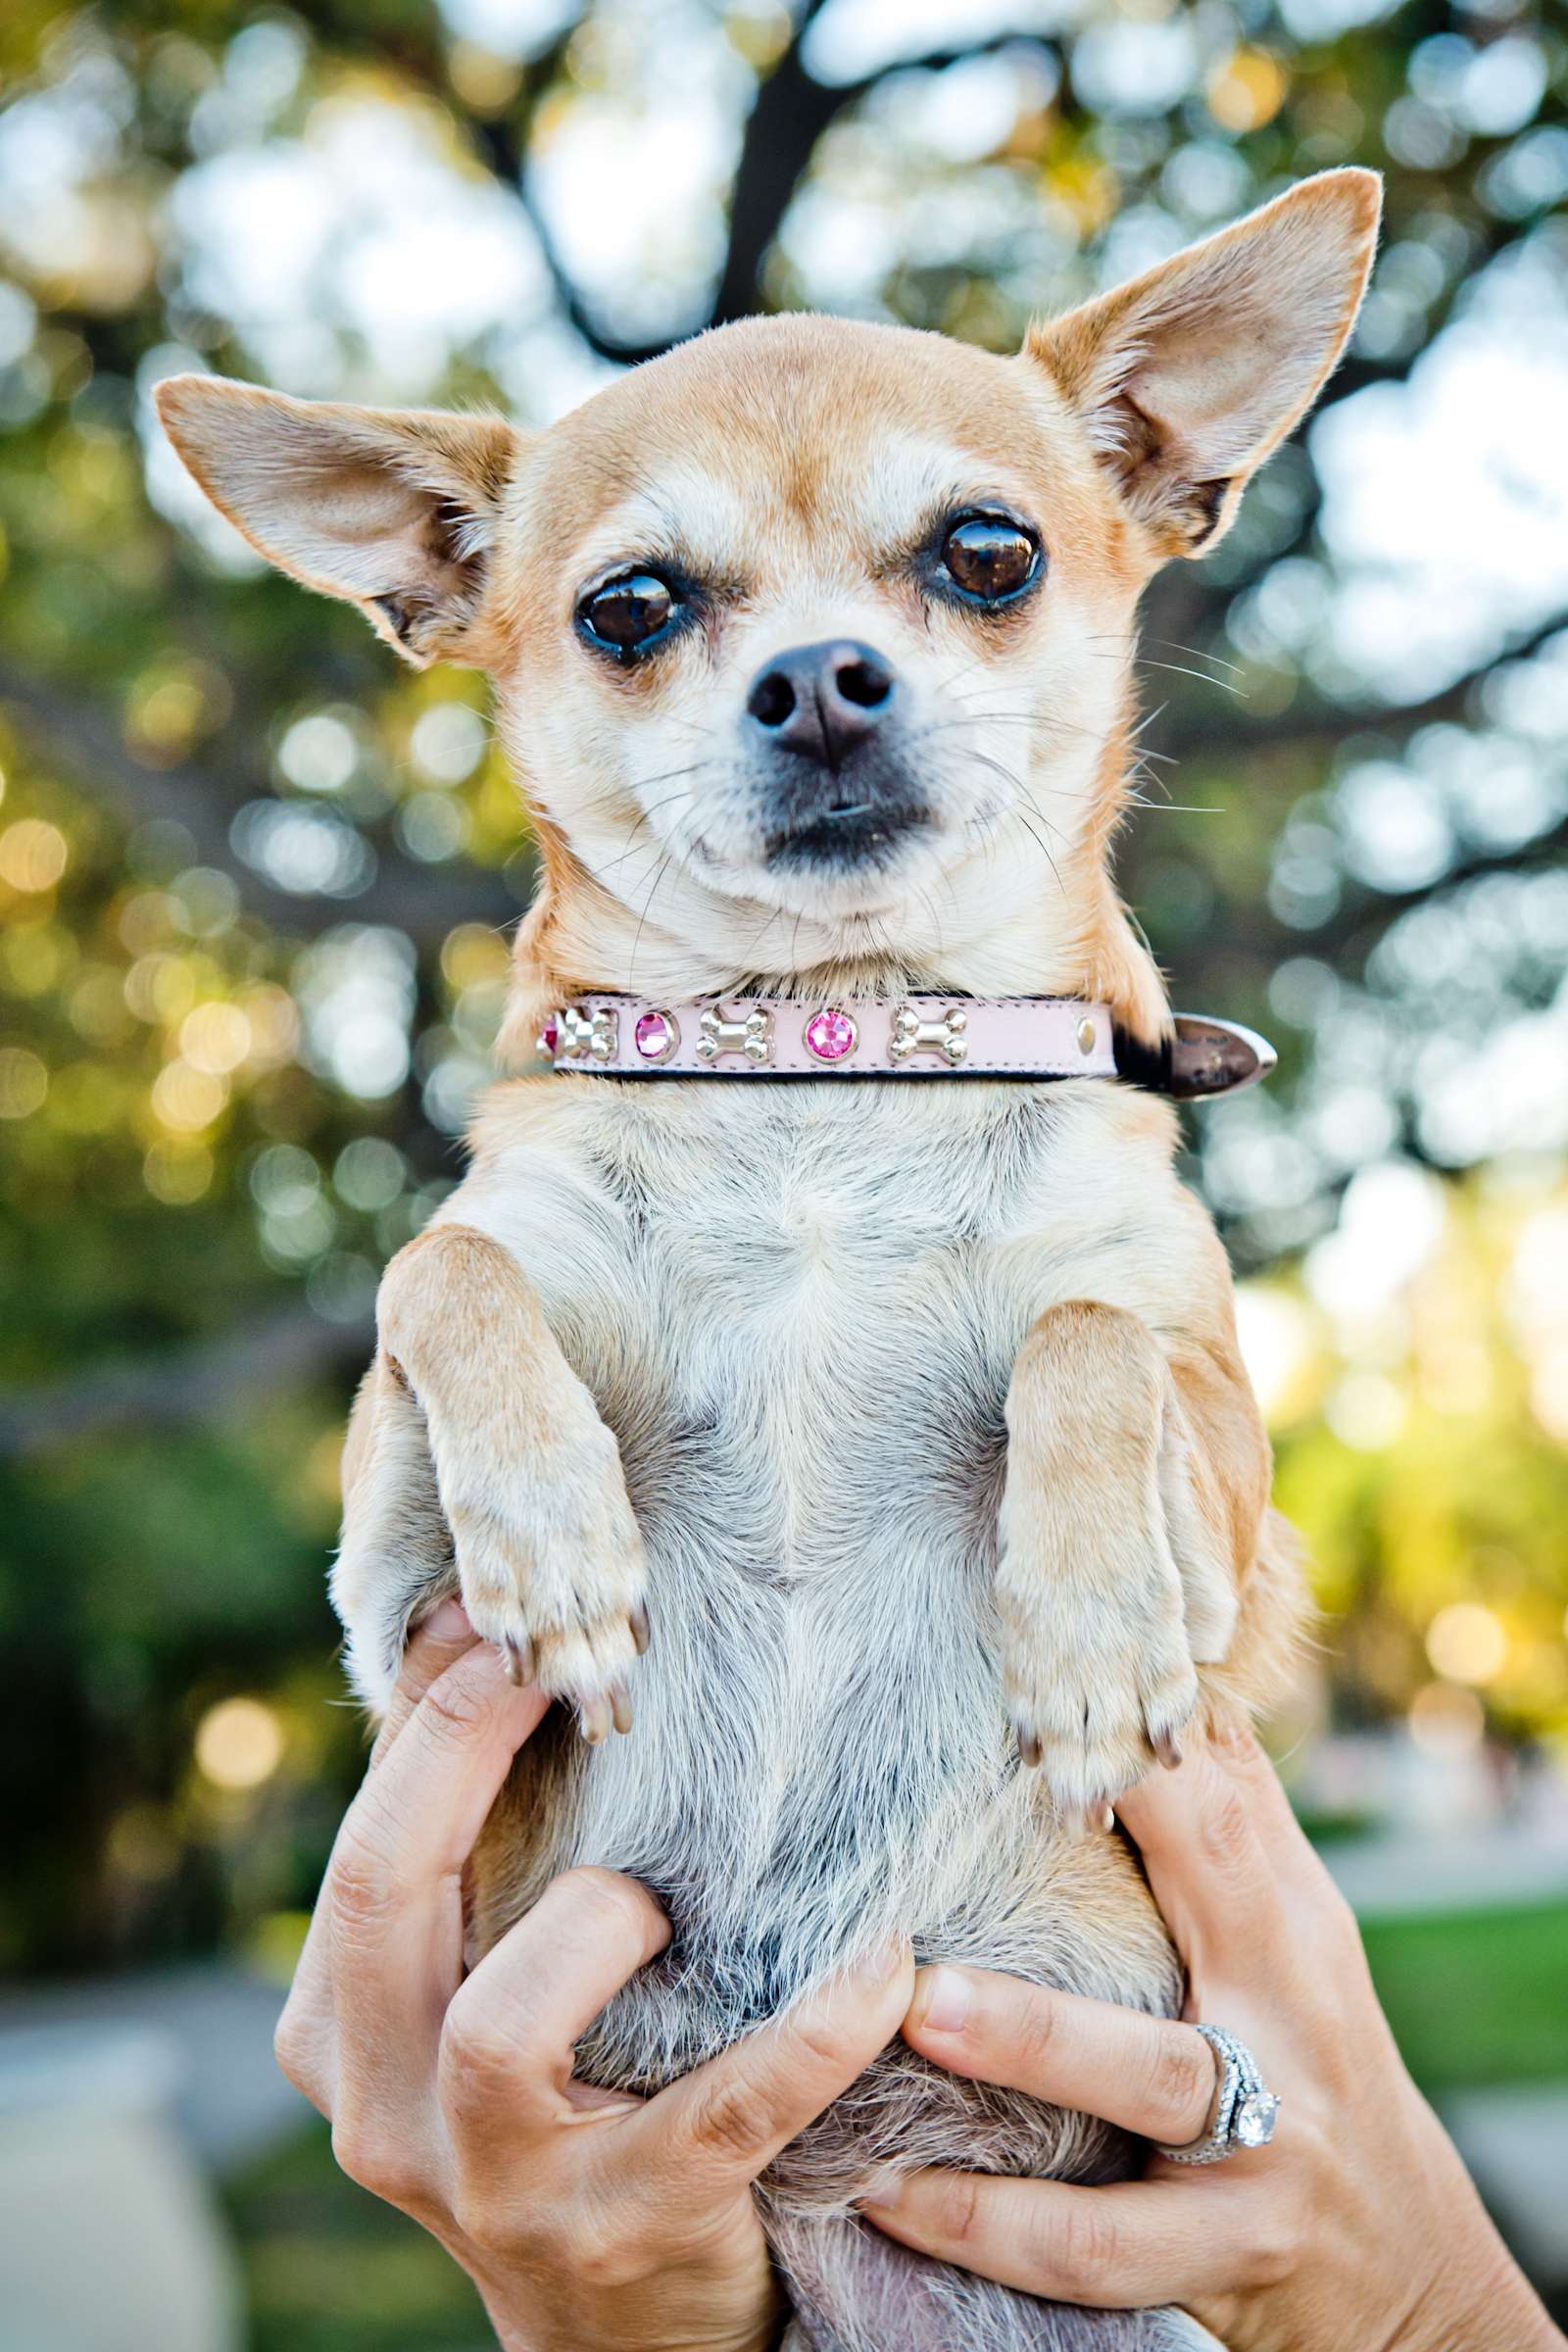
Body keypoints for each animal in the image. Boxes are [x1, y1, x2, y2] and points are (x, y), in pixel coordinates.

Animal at [160, 171, 1382, 2352]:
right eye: (630, 609)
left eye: (984, 554)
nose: (818, 678)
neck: (830, 1065)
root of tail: (829, 2191)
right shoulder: (391, 1595)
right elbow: (439, 1274)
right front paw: (559, 1538)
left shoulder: (1235, 1505)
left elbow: (1093, 1328)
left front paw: (1083, 1619)